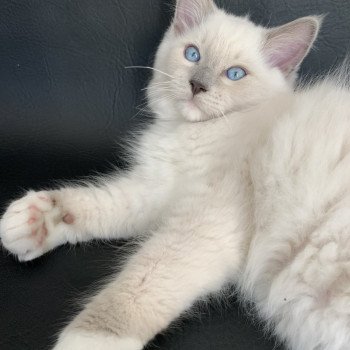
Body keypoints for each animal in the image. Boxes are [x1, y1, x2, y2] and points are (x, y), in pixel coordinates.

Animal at [1, 0, 348, 350]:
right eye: (193, 54)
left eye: (235, 74)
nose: (197, 85)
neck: (192, 132)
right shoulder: (158, 192)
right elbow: (102, 203)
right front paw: (32, 220)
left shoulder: (202, 225)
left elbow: (137, 287)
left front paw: (90, 340)